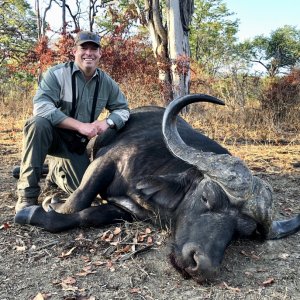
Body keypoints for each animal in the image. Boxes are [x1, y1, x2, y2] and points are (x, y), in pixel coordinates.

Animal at [14, 94, 300, 284]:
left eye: (244, 231)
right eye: (206, 197)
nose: (203, 266)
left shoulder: (125, 210)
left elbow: (87, 215)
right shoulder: (106, 161)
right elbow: (79, 199)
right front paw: (39, 208)